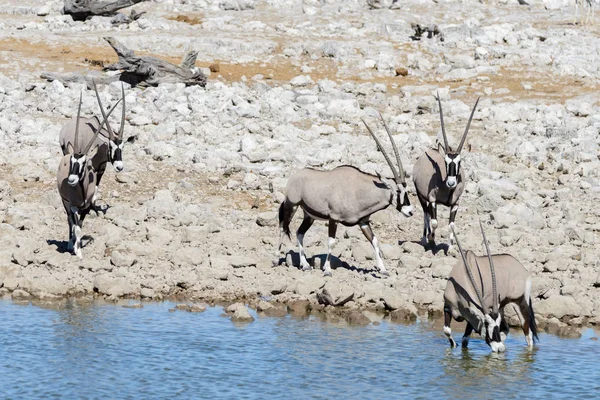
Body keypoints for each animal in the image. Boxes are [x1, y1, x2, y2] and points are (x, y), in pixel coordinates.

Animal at [56, 92, 120, 258]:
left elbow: (80, 226)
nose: (71, 180)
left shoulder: (84, 207)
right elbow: (75, 226)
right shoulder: (72, 206)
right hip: (65, 201)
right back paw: (70, 243)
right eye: (71, 162)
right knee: (69, 221)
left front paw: (79, 250)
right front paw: (76, 249)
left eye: (84, 163)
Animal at [59, 82, 126, 212]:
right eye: (110, 146)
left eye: (122, 146)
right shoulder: (93, 169)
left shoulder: (100, 169)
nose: (119, 167)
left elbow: (96, 187)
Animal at [278, 115, 412, 276]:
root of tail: (294, 176)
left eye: (407, 190)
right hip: (292, 206)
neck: (358, 189)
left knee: (299, 232)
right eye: (398, 191)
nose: (410, 211)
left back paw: (305, 265)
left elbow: (374, 240)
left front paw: (383, 270)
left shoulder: (363, 222)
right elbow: (331, 242)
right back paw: (276, 258)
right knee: (283, 227)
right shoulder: (334, 218)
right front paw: (327, 270)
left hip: (309, 216)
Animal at [412, 94, 478, 247]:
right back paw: (425, 238)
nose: (451, 183)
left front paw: (451, 247)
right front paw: (431, 237)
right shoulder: (432, 199)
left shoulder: (455, 204)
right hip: (421, 196)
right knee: (426, 214)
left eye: (459, 162)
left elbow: (451, 225)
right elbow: (435, 222)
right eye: (446, 162)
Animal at [440, 222, 540, 354]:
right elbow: (447, 331)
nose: (500, 348)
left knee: (528, 334)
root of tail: (523, 269)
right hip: (501, 306)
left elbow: (465, 340)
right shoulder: (447, 306)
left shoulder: (473, 316)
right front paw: (454, 345)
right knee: (507, 328)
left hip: (520, 302)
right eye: (486, 323)